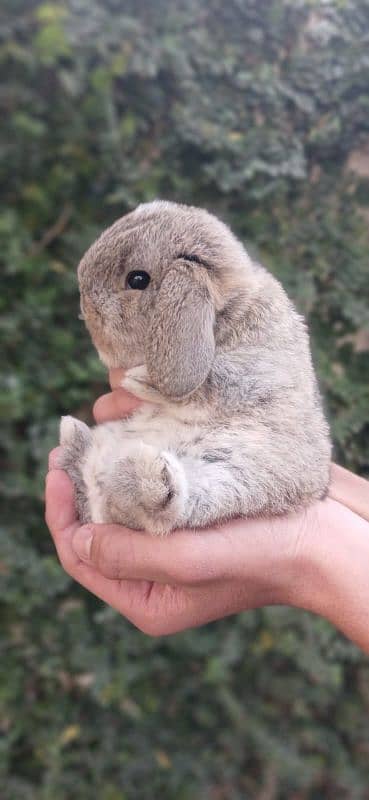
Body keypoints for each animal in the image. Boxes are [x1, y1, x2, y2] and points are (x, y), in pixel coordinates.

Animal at [58, 200, 330, 536]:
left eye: (138, 280)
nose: (85, 309)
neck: (230, 311)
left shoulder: (251, 374)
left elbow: (208, 388)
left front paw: (143, 380)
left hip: (228, 479)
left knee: (159, 510)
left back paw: (145, 474)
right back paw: (75, 437)